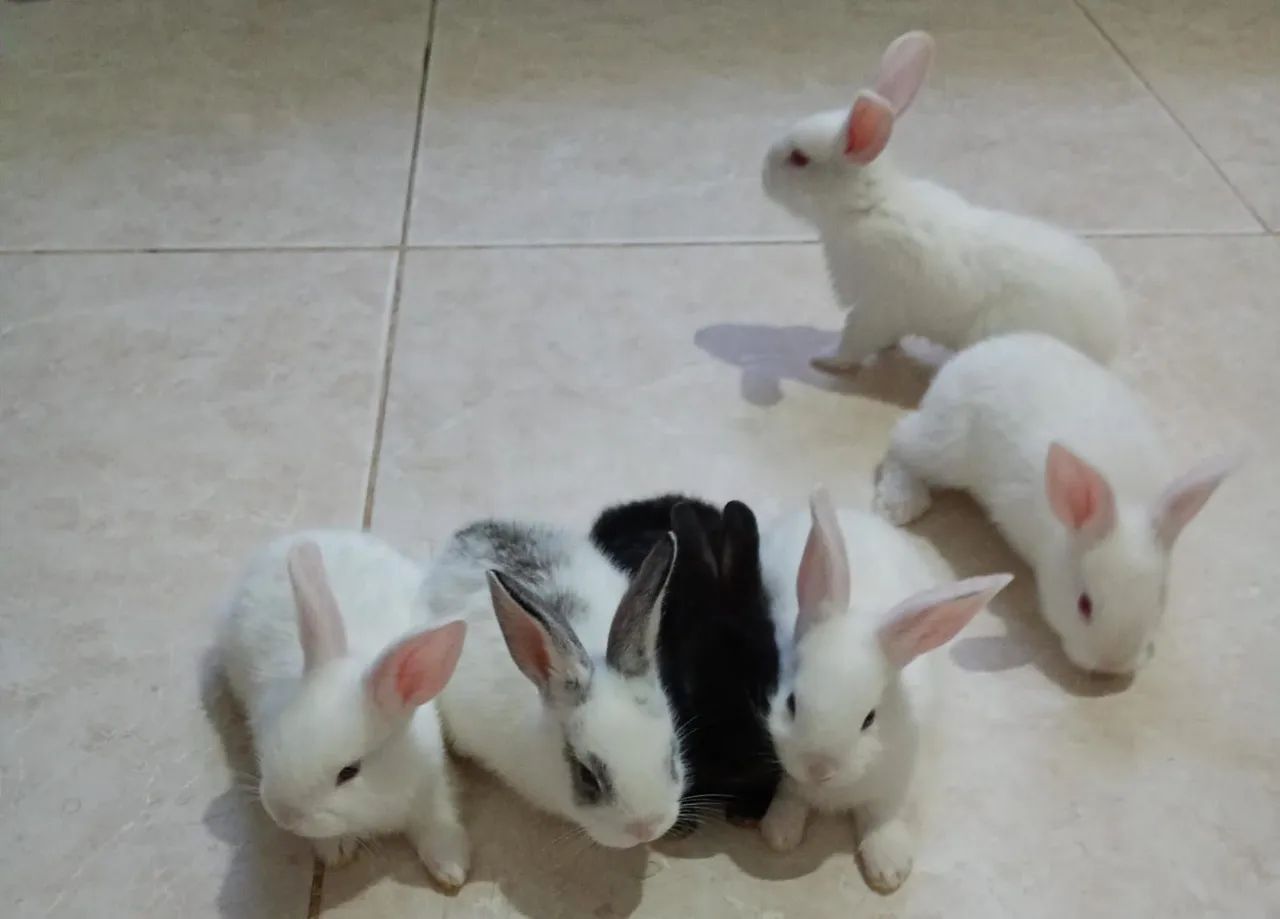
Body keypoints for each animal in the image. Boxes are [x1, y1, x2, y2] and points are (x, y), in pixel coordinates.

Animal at [216, 530, 471, 887]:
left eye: (349, 772)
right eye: (276, 739)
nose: (283, 814)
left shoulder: (432, 783)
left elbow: (440, 817)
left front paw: (452, 868)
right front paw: (336, 852)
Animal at [758, 487, 1012, 893]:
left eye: (869, 719)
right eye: (792, 702)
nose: (819, 768)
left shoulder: (893, 783)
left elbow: (882, 817)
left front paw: (890, 868)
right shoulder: (787, 776)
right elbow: (791, 797)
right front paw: (780, 834)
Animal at [761, 30, 1127, 374]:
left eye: (799, 159)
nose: (763, 177)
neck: (868, 206)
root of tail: (1108, 343)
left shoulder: (875, 307)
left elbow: (853, 341)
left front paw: (824, 360)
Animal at [873, 332, 1237, 676]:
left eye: (1161, 597)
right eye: (1084, 605)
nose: (1111, 667)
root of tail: (965, 358)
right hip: (943, 447)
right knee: (899, 442)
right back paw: (900, 503)